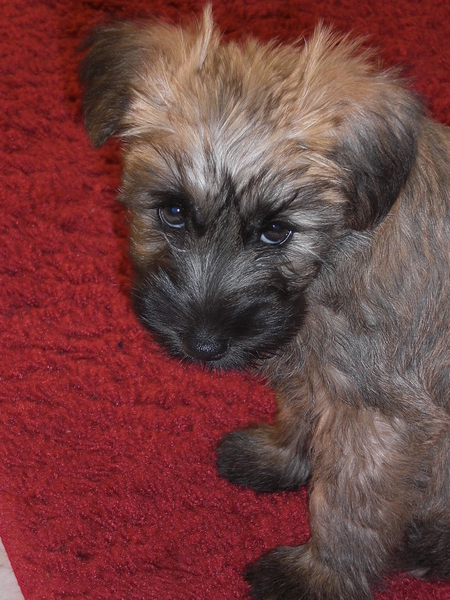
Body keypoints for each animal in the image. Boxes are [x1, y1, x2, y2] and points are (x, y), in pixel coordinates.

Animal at [80, 6, 450, 599]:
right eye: (173, 211)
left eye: (278, 231)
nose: (204, 344)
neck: (336, 257)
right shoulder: (311, 362)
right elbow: (302, 409)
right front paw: (279, 459)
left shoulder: (380, 414)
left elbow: (348, 504)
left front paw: (319, 577)